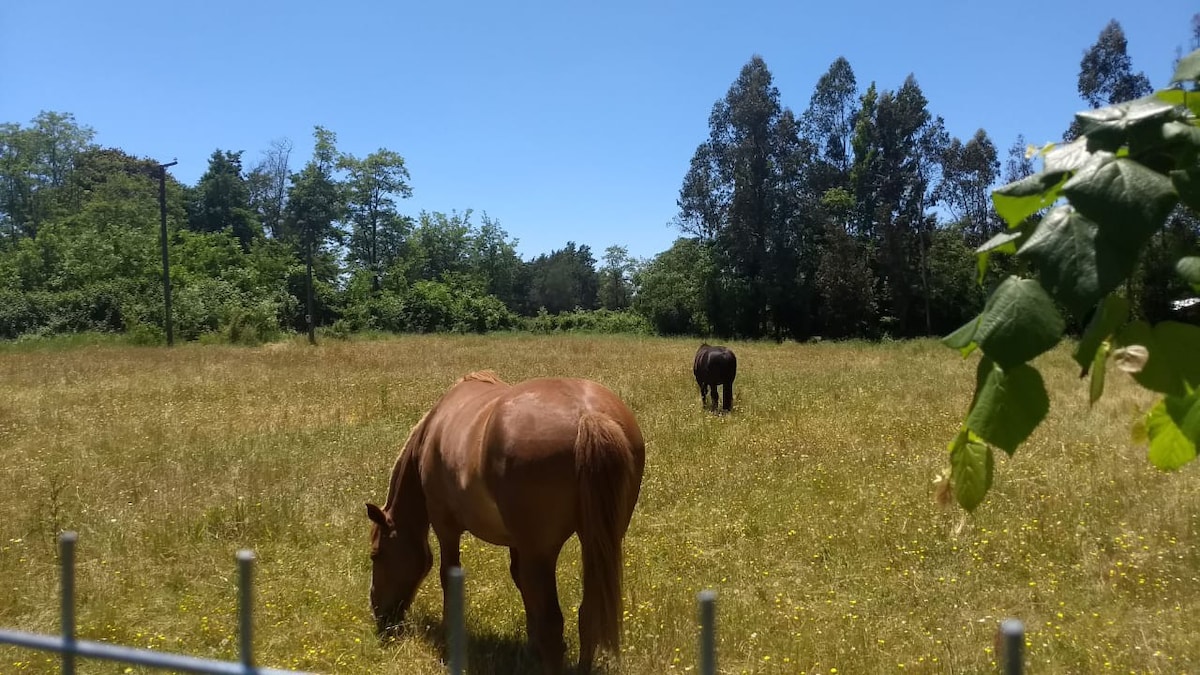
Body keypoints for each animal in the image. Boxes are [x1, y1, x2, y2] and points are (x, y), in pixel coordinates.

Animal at [364, 369, 648, 667]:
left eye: (376, 554)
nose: (379, 615)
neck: (432, 432)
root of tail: (588, 415)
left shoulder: (446, 527)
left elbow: (448, 576)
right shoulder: (517, 542)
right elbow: (520, 581)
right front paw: (531, 646)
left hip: (542, 552)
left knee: (554, 620)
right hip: (597, 543)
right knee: (587, 613)